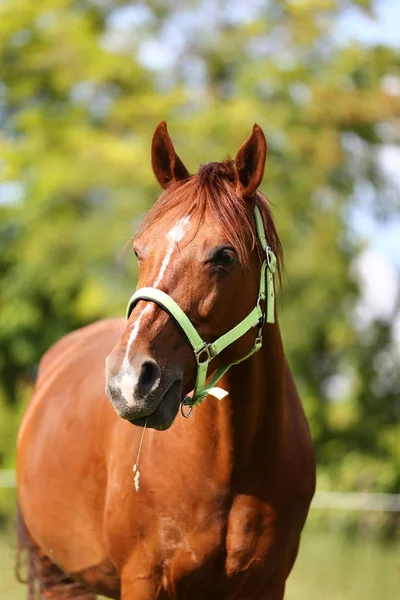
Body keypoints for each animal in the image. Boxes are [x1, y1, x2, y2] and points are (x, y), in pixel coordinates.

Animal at [16, 119, 316, 596]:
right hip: (58, 575)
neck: (234, 464)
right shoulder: (144, 580)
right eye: (140, 250)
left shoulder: (269, 585)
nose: (127, 381)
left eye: (224, 255)